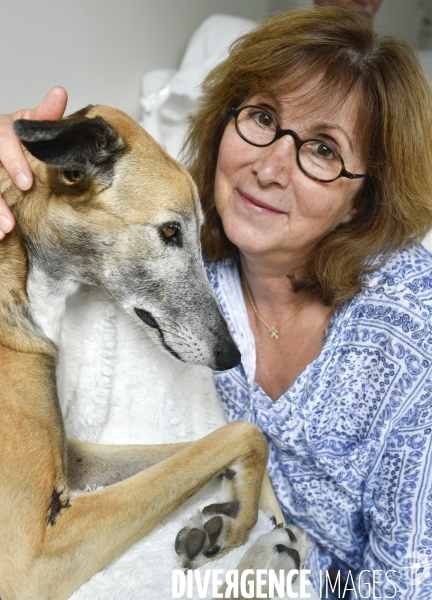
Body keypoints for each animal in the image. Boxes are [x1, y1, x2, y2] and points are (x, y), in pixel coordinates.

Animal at [0, 108, 308, 600]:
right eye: (169, 230)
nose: (231, 356)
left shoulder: (71, 461)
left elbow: (212, 443)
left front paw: (255, 503)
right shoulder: (32, 556)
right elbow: (241, 431)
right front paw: (245, 523)